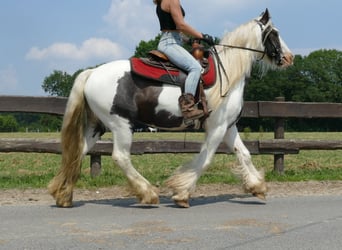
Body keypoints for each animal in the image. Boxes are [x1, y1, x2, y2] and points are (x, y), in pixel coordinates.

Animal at [48, 8, 294, 208]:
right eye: (274, 33)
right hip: (120, 124)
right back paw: (147, 193)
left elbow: (244, 154)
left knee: (78, 152)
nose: (289, 57)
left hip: (98, 125)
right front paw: (182, 193)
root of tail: (92, 73)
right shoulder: (216, 127)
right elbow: (206, 158)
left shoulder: (228, 126)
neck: (228, 74)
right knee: (120, 156)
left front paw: (257, 187)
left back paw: (64, 196)